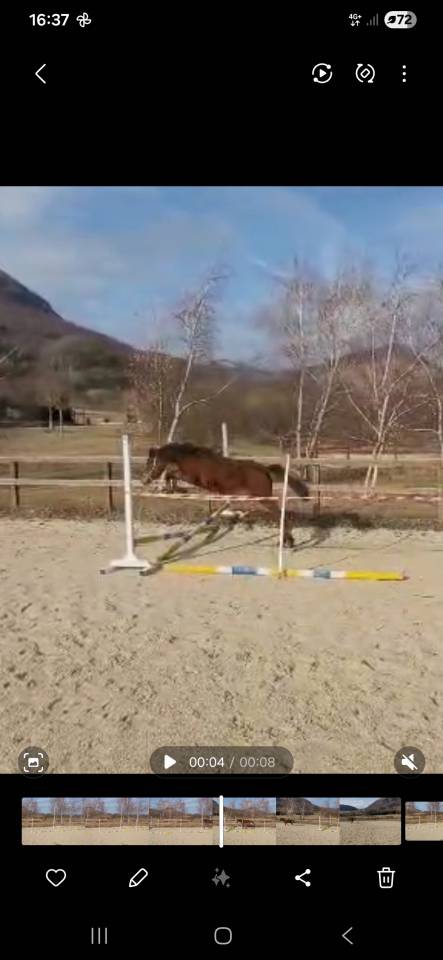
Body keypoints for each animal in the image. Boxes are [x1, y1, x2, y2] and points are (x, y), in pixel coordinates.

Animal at [142, 442, 309, 547]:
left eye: (151, 462)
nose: (145, 480)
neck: (192, 458)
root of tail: (264, 469)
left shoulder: (193, 478)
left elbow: (171, 473)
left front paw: (169, 488)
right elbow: (171, 474)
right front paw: (171, 489)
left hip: (264, 499)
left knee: (281, 515)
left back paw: (288, 542)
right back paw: (286, 541)